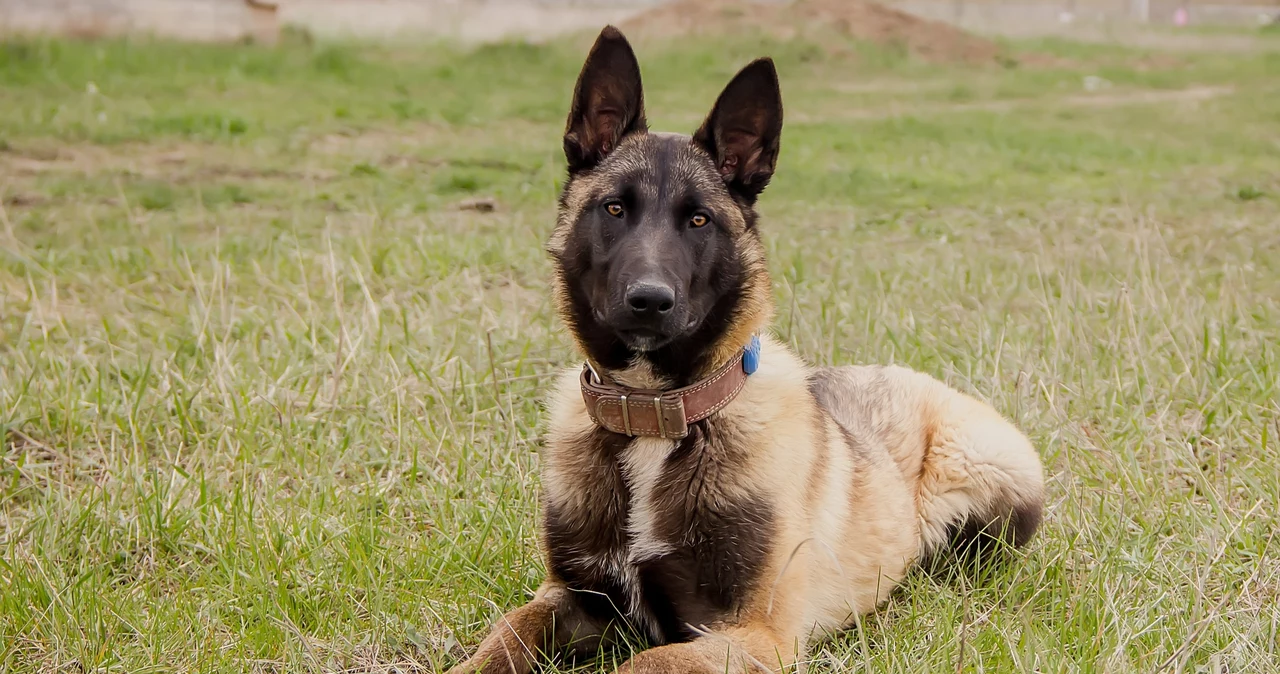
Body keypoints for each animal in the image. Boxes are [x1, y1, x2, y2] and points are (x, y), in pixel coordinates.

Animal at [445, 26, 1044, 674]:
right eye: (613, 208)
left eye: (699, 220)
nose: (649, 301)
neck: (656, 416)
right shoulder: (571, 598)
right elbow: (505, 634)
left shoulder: (754, 634)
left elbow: (643, 663)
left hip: (988, 487)